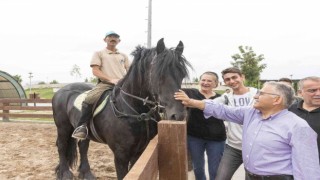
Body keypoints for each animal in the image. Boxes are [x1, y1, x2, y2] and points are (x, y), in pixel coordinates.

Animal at [52, 38, 192, 179]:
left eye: (181, 74)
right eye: (159, 75)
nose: (178, 115)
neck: (135, 111)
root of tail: (61, 90)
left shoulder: (140, 152)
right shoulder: (121, 155)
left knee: (83, 146)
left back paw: (86, 173)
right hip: (63, 127)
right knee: (62, 146)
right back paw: (65, 173)